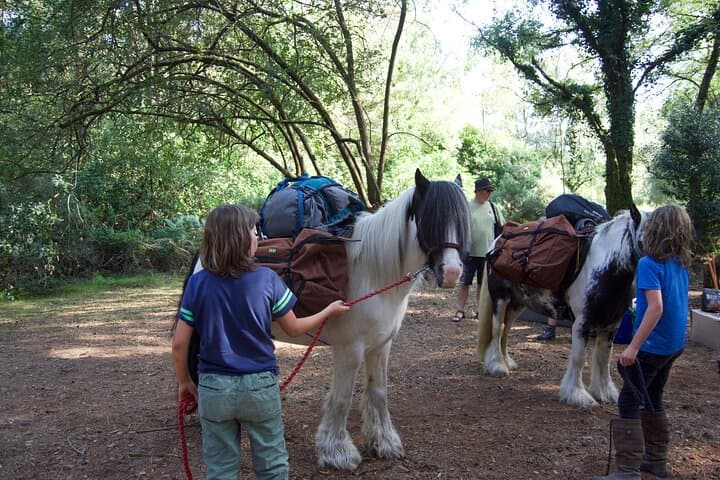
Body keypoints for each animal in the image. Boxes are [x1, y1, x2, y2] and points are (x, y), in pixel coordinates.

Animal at [315, 169, 470, 470]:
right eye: (429, 219)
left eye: (462, 221)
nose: (452, 273)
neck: (370, 272)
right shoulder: (349, 349)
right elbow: (341, 398)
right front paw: (337, 452)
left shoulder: (380, 345)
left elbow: (379, 392)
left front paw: (384, 442)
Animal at [476, 206, 645, 408]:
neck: (603, 266)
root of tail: (496, 243)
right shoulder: (582, 323)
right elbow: (579, 358)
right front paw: (577, 395)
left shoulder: (611, 325)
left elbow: (604, 358)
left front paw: (605, 392)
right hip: (500, 299)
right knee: (498, 329)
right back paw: (497, 366)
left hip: (517, 303)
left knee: (506, 330)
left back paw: (507, 361)